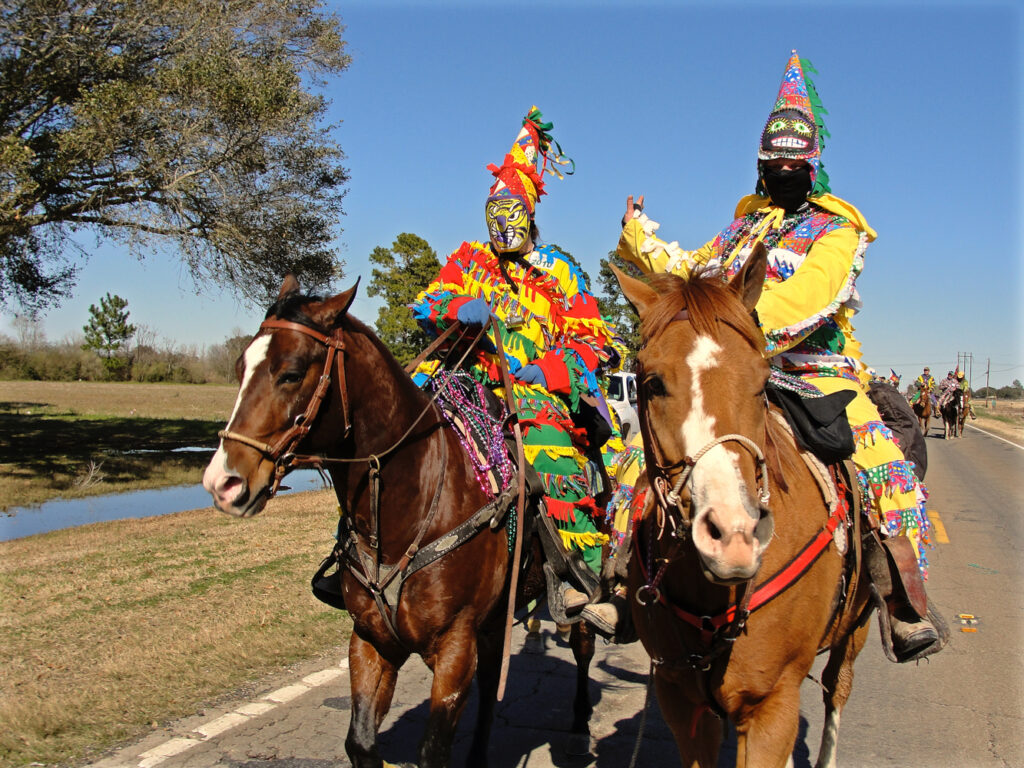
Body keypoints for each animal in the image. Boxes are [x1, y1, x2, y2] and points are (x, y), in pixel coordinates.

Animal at [200, 276, 598, 768]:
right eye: (240, 367)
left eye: (291, 373)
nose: (223, 482)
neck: (408, 510)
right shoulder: (372, 640)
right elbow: (361, 742)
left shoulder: (453, 648)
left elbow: (433, 750)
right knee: (492, 685)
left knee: (582, 647)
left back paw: (579, 725)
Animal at [614, 247, 872, 768]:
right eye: (652, 383)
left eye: (760, 382)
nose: (733, 537)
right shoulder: (680, 698)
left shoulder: (773, 708)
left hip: (856, 629)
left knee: (837, 689)